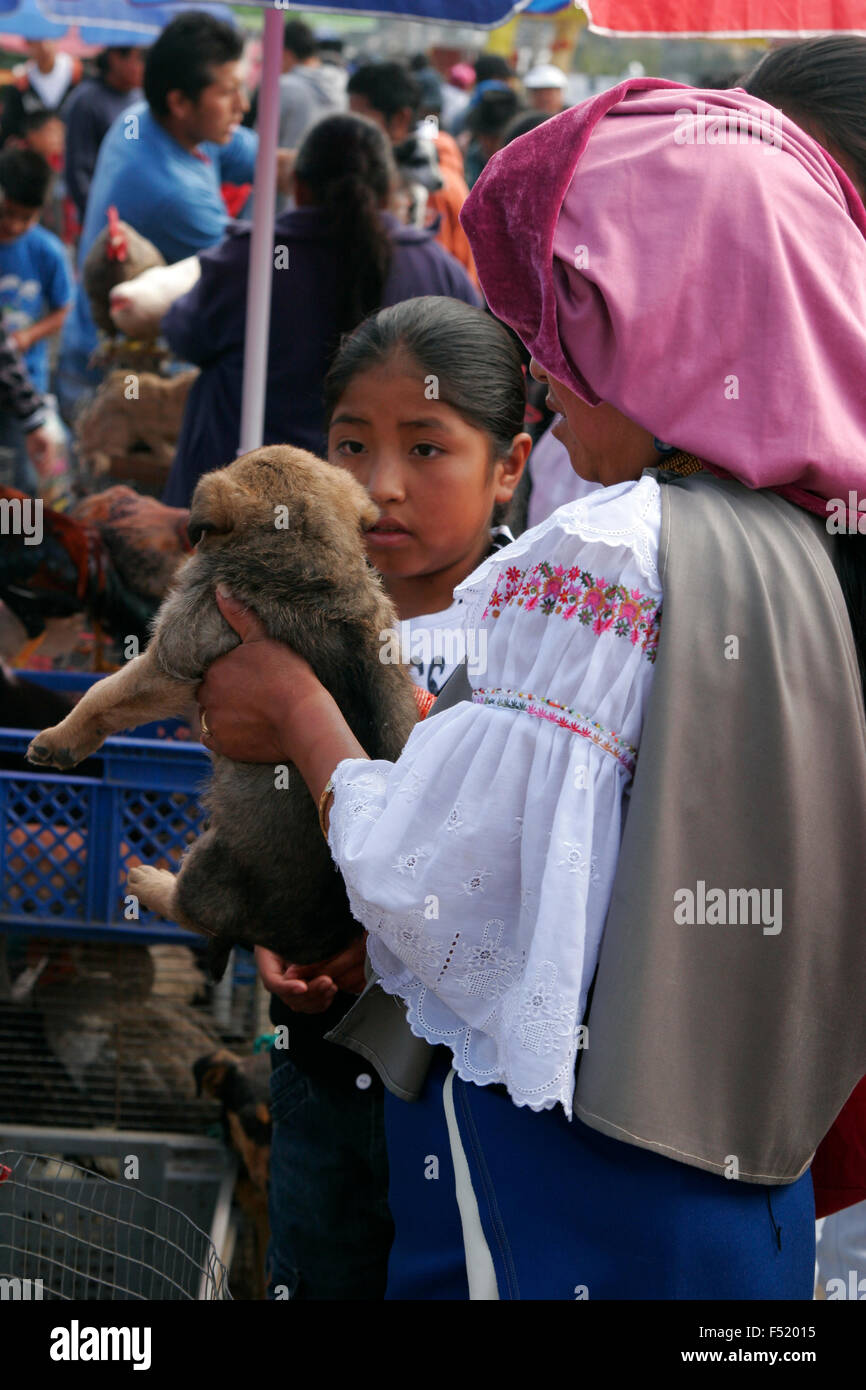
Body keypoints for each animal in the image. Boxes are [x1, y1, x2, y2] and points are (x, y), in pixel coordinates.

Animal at [25, 444, 419, 978]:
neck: (313, 566)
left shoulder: (172, 657)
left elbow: (103, 694)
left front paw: (58, 740)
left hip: (209, 861)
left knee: (193, 912)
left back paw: (150, 882)